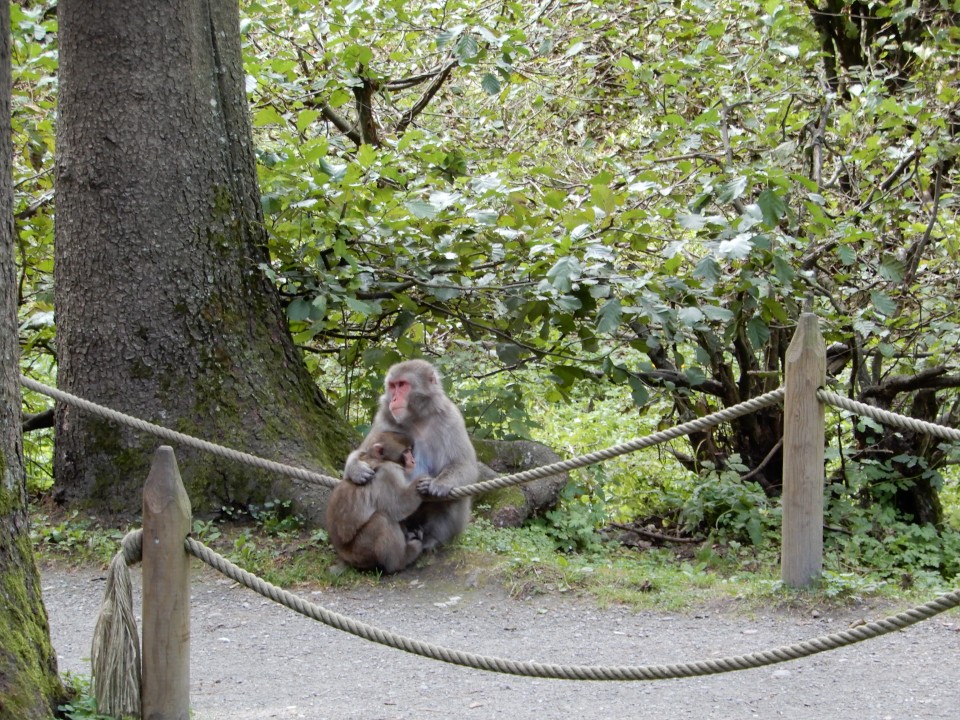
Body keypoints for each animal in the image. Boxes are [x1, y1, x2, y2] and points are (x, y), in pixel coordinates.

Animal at [326, 428, 424, 572]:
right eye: (406, 452)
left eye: (410, 450)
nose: (413, 461)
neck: (379, 459)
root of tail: (343, 554)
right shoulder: (389, 472)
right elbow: (398, 506)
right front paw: (426, 480)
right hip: (362, 550)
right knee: (382, 519)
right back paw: (402, 559)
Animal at [344, 360, 480, 552]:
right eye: (393, 386)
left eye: (402, 385)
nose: (394, 398)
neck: (416, 418)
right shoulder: (383, 417)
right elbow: (364, 451)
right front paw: (355, 468)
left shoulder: (451, 417)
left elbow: (465, 465)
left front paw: (440, 483)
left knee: (454, 499)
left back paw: (433, 539)